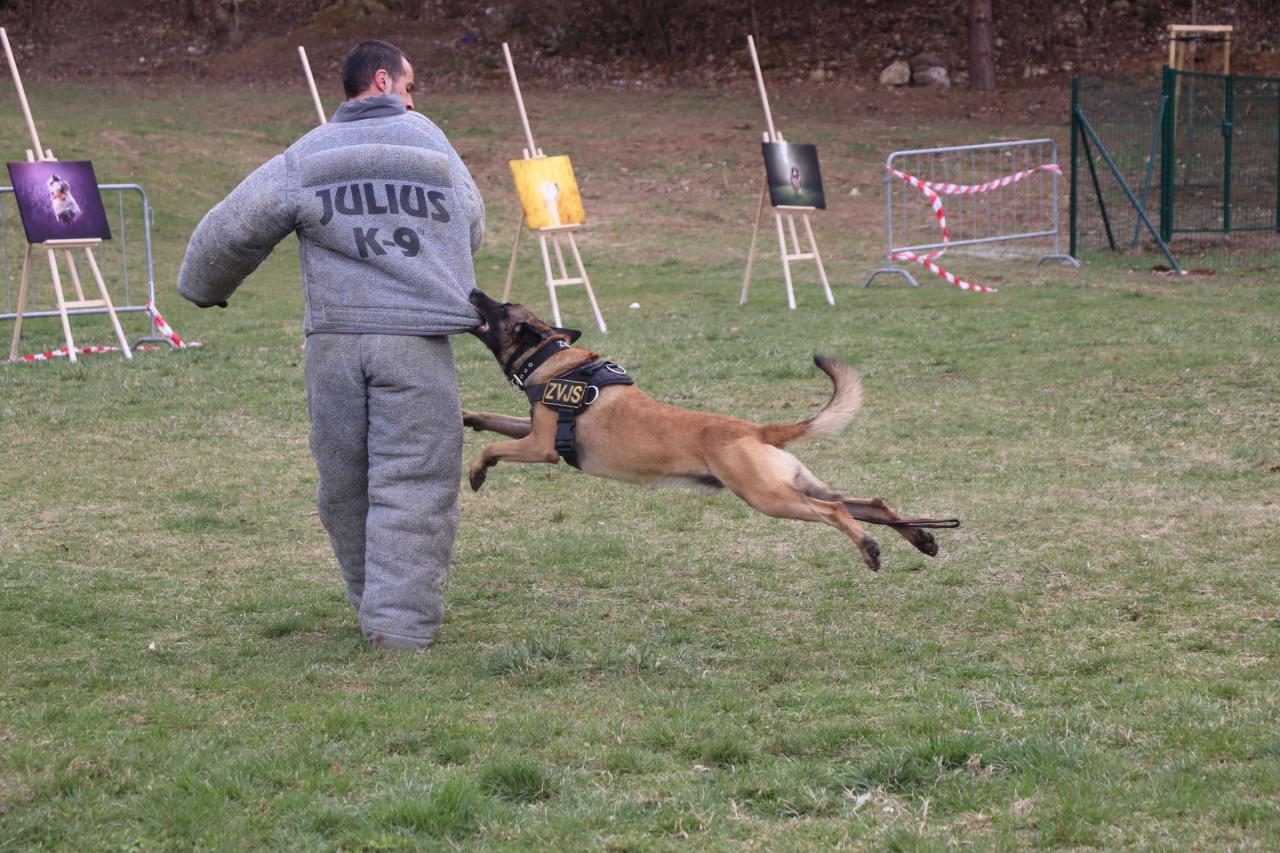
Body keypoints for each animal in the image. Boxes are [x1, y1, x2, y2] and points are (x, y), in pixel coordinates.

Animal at [463, 289, 957, 571]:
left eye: (500, 306)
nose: (472, 288)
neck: (552, 359)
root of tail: (756, 429)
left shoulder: (541, 446)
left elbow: (491, 449)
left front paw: (476, 472)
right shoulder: (529, 431)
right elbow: (491, 421)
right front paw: (467, 417)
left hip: (768, 496)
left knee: (838, 512)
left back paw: (869, 548)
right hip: (797, 485)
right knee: (869, 504)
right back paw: (921, 538)